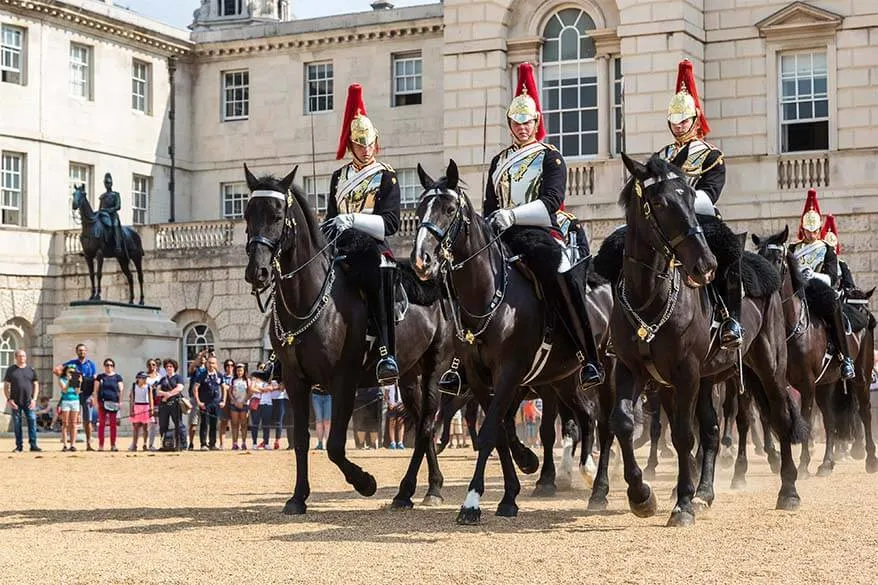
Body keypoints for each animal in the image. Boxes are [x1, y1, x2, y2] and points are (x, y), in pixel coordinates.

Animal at [244, 164, 458, 512]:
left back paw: (413, 490)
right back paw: (425, 488)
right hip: (408, 375)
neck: (310, 298)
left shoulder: (343, 380)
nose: (257, 272)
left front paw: (365, 482)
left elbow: (333, 445)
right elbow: (302, 440)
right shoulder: (295, 380)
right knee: (420, 425)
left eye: (277, 215)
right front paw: (297, 498)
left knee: (427, 423)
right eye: (248, 213)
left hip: (434, 369)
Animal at [410, 160, 604, 524]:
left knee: (597, 416)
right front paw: (513, 488)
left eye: (449, 209)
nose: (421, 260)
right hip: (560, 379)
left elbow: (489, 431)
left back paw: (595, 479)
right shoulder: (478, 377)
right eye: (418, 208)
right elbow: (499, 430)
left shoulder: (509, 371)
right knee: (585, 416)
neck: (491, 296)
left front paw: (472, 502)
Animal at [600, 153, 808, 528]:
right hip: (708, 379)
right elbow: (623, 422)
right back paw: (705, 492)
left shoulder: (686, 373)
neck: (649, 296)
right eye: (658, 202)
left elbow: (684, 435)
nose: (706, 265)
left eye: (690, 196)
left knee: (780, 416)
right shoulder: (632, 369)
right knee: (711, 429)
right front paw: (642, 495)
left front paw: (682, 504)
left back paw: (788, 490)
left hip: (769, 366)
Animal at [752, 227, 876, 474]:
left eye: (777, 258)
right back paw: (827, 463)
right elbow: (783, 417)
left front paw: (802, 464)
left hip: (861, 375)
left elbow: (806, 417)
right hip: (826, 384)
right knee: (830, 419)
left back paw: (869, 459)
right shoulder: (781, 382)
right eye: (759, 255)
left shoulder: (807, 383)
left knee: (865, 411)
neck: (793, 327)